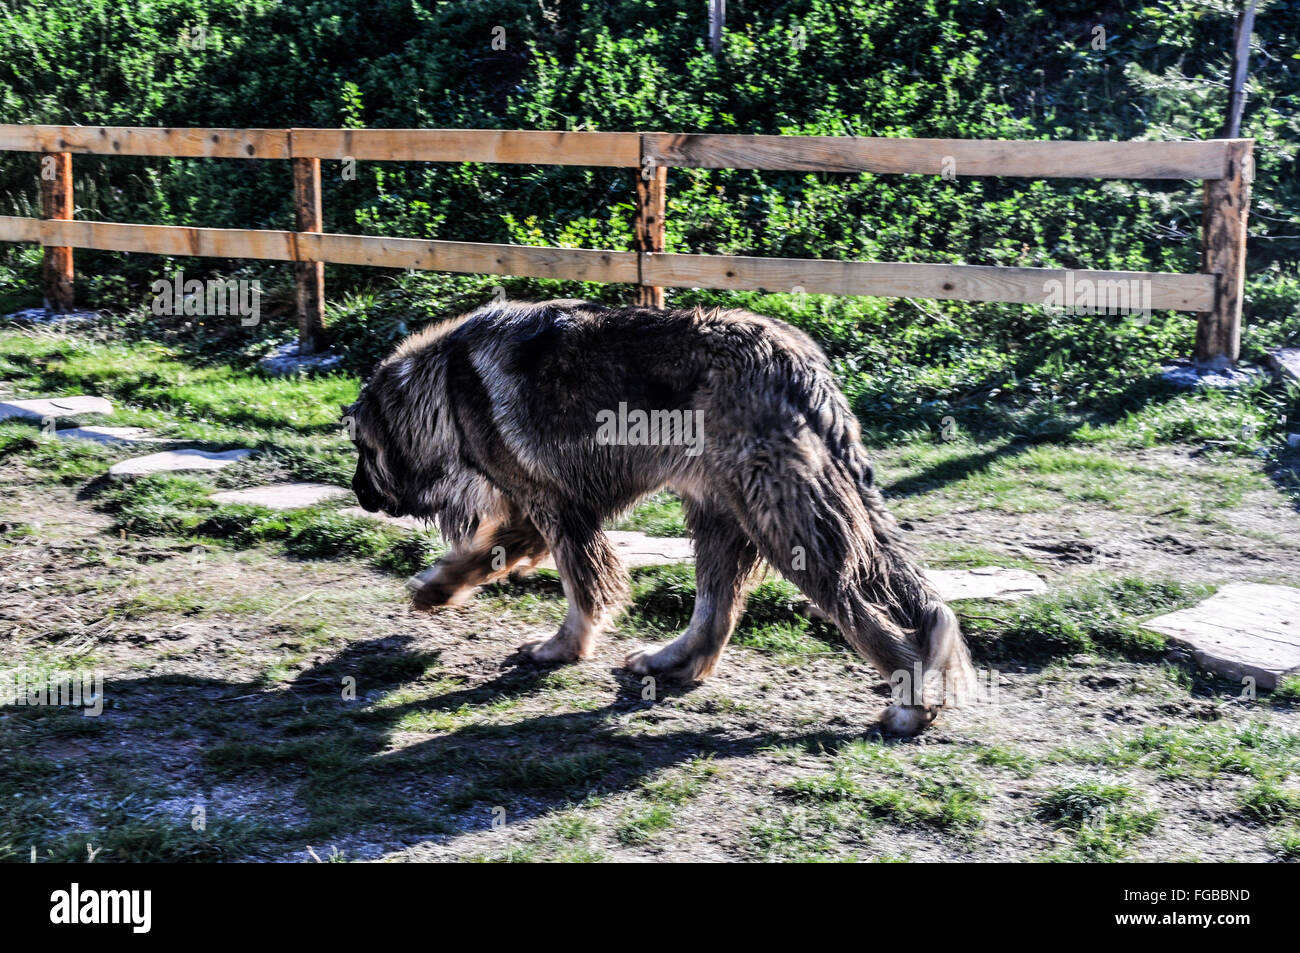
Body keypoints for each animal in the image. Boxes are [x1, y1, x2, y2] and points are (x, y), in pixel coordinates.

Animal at [345, 301, 977, 733]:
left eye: (363, 449)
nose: (357, 492)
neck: (442, 389)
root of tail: (797, 362)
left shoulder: (555, 506)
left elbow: (581, 587)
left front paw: (562, 647)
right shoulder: (536, 507)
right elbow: (481, 554)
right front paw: (436, 588)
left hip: (782, 518)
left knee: (860, 612)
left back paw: (912, 704)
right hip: (722, 508)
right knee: (715, 611)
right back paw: (672, 659)